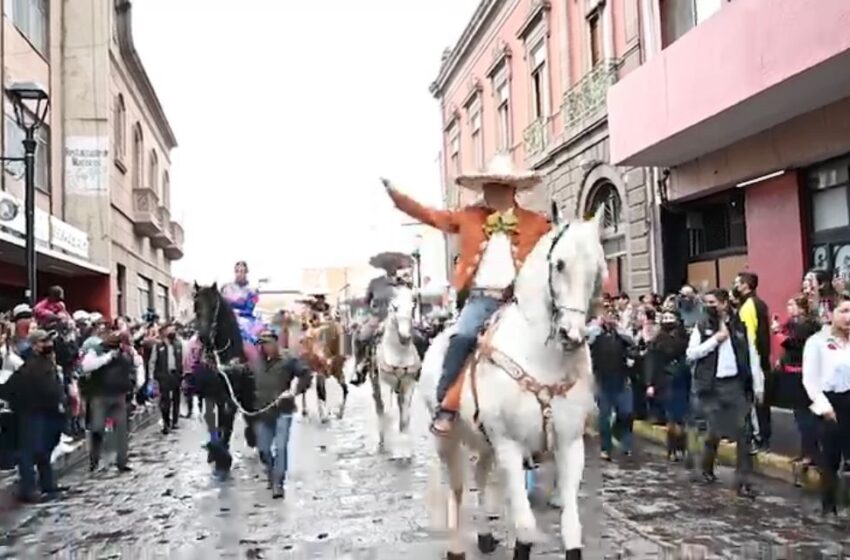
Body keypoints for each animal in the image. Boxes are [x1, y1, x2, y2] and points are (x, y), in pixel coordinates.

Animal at [192, 282, 255, 480]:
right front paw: (215, 452)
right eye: (196, 305)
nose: (204, 337)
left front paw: (223, 458)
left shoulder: (231, 395)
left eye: (214, 306)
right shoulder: (211, 393)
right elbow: (212, 419)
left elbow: (227, 422)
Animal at [372, 284, 422, 460]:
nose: (405, 337)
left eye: (413, 307)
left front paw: (404, 450)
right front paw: (394, 449)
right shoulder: (385, 385)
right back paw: (382, 441)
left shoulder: (408, 384)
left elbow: (405, 416)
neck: (399, 355)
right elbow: (389, 413)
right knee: (380, 410)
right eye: (394, 307)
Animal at [420, 211, 600, 560]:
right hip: (449, 442)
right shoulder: (509, 446)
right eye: (559, 264)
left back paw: (485, 535)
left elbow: (571, 527)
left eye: (597, 268)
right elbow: (526, 527)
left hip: (484, 441)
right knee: (457, 489)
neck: (541, 359)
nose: (572, 335)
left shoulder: (570, 445)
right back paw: (456, 547)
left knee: (479, 477)